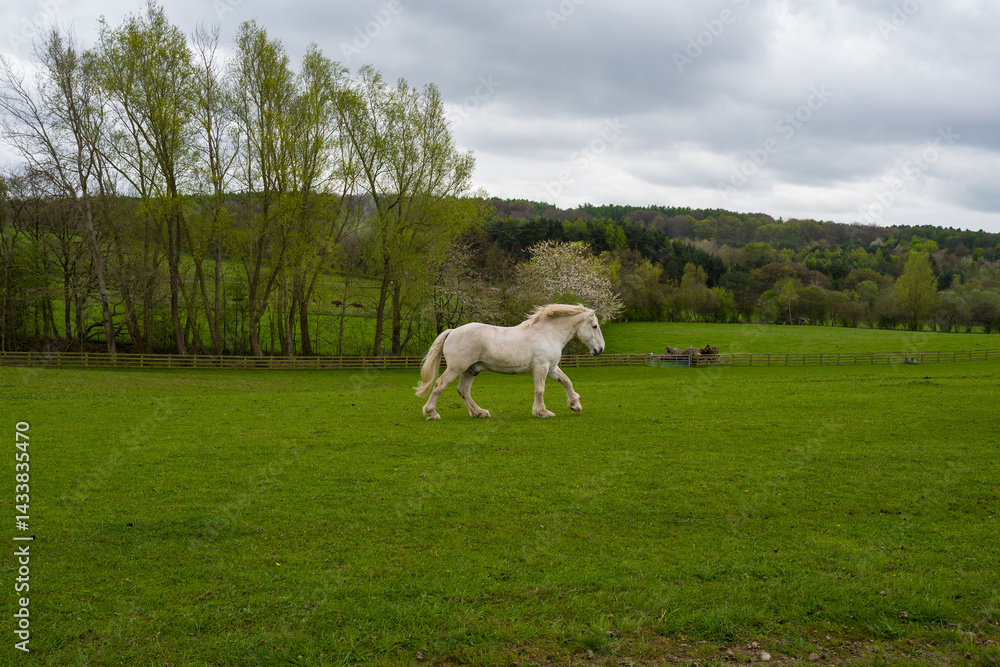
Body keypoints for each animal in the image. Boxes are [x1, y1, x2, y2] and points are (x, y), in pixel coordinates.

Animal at [415, 304, 605, 420]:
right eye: (595, 326)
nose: (600, 349)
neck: (548, 333)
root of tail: (452, 331)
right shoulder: (541, 367)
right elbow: (540, 390)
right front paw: (542, 412)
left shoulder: (551, 368)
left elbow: (567, 382)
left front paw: (575, 405)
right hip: (456, 368)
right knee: (439, 385)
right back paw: (432, 413)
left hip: (469, 370)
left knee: (463, 391)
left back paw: (479, 412)